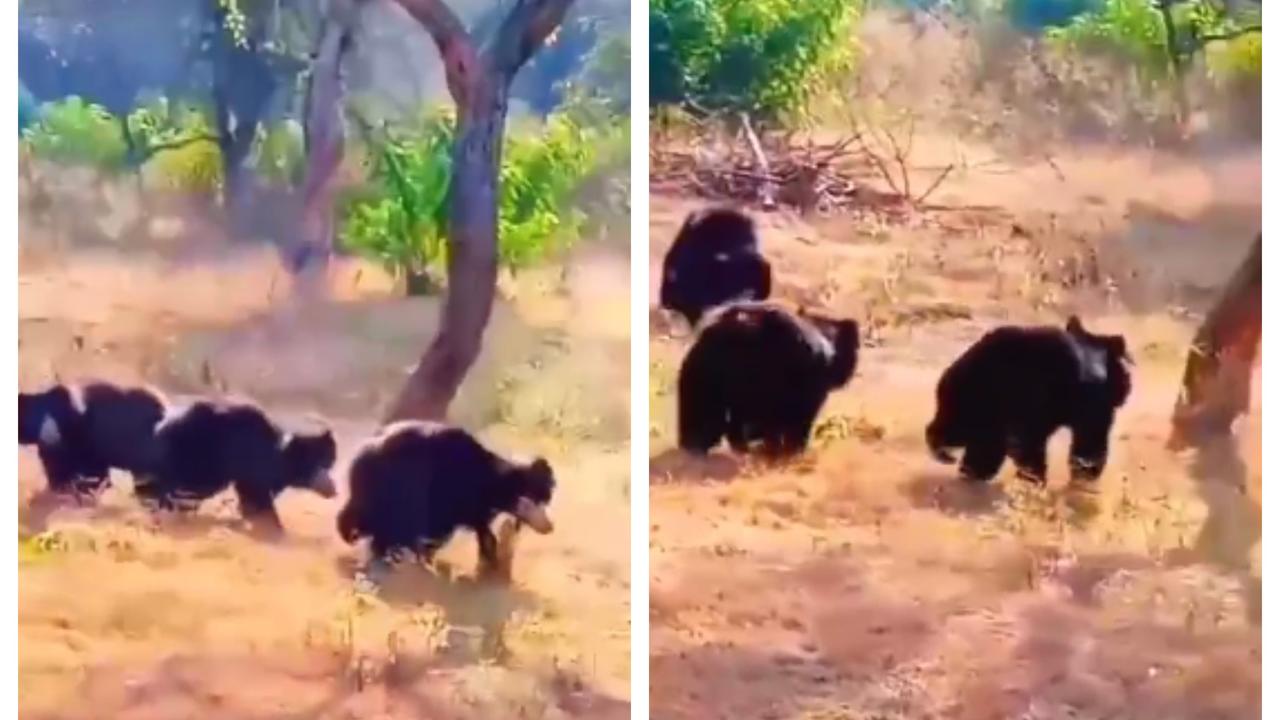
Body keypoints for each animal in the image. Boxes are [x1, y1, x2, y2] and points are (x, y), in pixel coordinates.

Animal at [135, 397, 337, 532]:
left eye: (328, 464)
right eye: (315, 466)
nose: (333, 490)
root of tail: (162, 426)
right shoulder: (252, 469)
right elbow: (258, 496)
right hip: (199, 459)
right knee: (181, 487)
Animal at [335, 420, 555, 571]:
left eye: (544, 502)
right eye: (529, 501)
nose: (549, 527)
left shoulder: (473, 507)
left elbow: (481, 530)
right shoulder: (447, 495)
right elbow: (440, 530)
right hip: (388, 487)